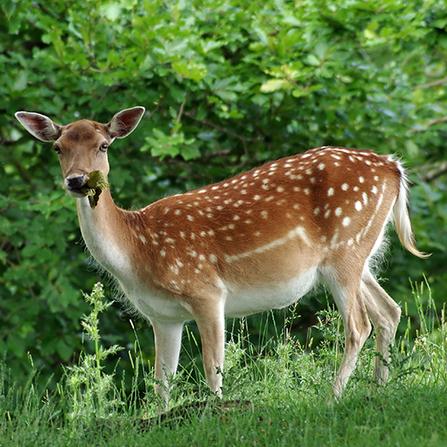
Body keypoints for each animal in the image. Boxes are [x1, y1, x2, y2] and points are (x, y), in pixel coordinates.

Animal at [14, 107, 428, 404]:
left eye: (103, 145)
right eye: (58, 147)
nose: (77, 180)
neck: (137, 252)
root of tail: (394, 167)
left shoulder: (207, 292)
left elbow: (213, 368)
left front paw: (215, 412)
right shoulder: (162, 316)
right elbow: (161, 381)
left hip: (345, 249)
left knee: (359, 324)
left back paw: (332, 399)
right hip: (359, 255)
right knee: (389, 311)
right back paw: (377, 392)